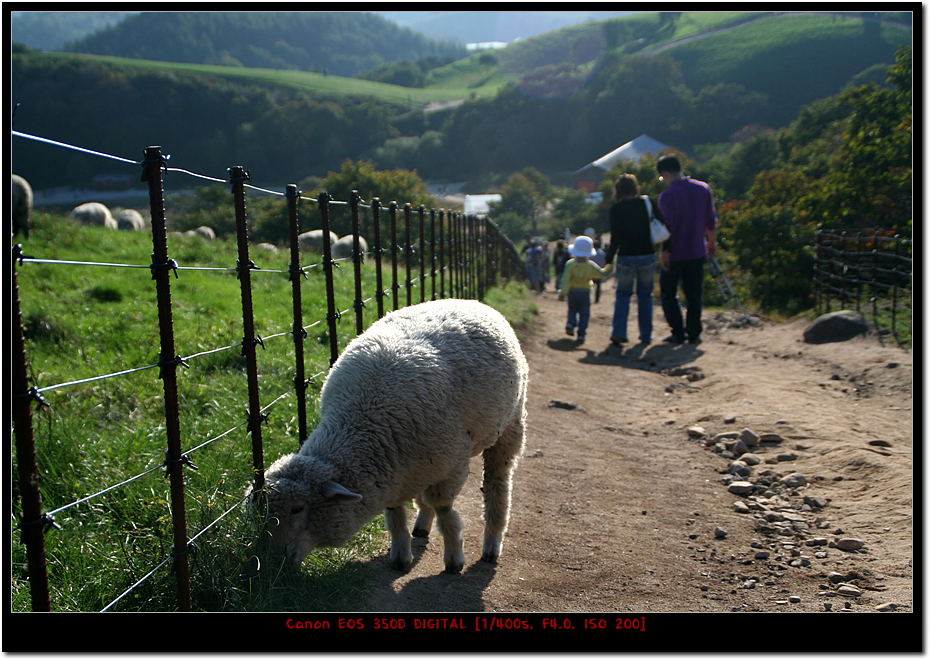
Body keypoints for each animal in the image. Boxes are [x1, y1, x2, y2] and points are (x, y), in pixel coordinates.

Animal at [260, 300, 524, 572]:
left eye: (297, 509)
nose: (274, 563)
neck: (364, 421)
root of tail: (470, 301)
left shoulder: (451, 465)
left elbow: (444, 511)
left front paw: (454, 558)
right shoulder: (393, 470)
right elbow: (395, 513)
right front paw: (400, 554)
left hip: (510, 425)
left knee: (497, 485)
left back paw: (492, 543)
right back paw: (422, 525)